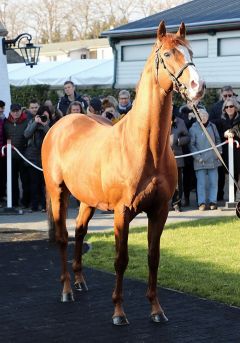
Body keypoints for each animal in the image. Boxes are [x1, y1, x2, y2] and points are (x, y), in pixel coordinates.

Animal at [41, 20, 204, 326]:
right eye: (167, 54)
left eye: (191, 52)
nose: (197, 87)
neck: (146, 147)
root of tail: (61, 124)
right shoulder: (122, 212)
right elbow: (121, 259)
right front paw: (118, 312)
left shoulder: (160, 210)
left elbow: (153, 257)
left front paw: (156, 310)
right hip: (58, 192)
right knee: (63, 238)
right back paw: (67, 289)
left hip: (87, 200)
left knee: (79, 231)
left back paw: (80, 281)